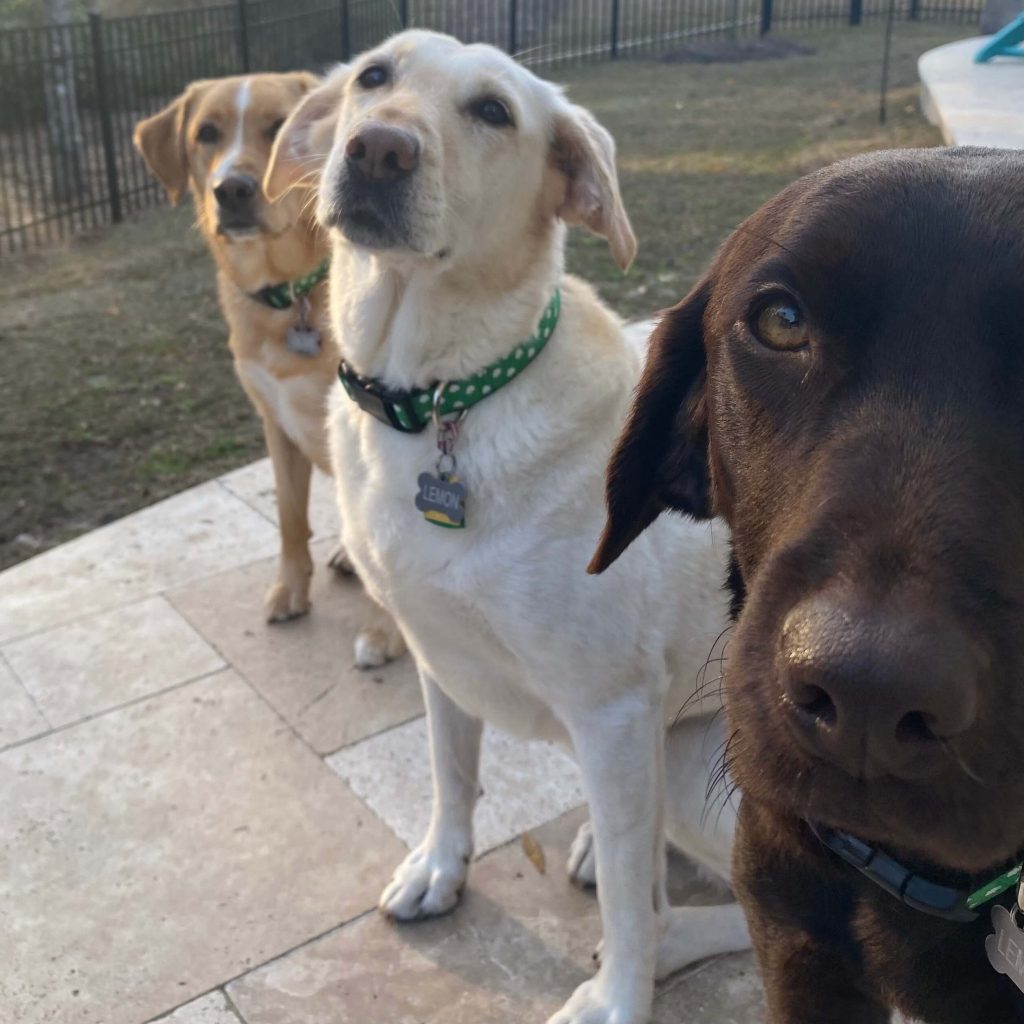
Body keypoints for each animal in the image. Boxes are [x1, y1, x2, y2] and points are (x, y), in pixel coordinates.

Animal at [264, 32, 753, 1024]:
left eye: (494, 111)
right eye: (374, 76)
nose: (378, 149)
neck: (442, 398)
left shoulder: (613, 709)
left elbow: (631, 902)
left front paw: (618, 995)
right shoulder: (437, 652)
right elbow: (452, 776)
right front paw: (440, 869)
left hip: (697, 772)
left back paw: (665, 932)